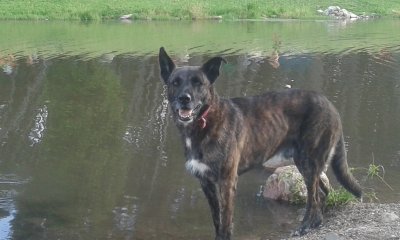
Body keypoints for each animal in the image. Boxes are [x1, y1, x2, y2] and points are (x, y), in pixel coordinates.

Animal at [159, 47, 362, 240]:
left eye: (198, 83)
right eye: (175, 82)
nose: (184, 99)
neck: (206, 120)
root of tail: (330, 105)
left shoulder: (227, 181)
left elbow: (225, 222)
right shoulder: (206, 183)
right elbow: (217, 220)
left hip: (308, 163)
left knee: (314, 199)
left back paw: (304, 228)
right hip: (306, 164)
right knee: (323, 192)